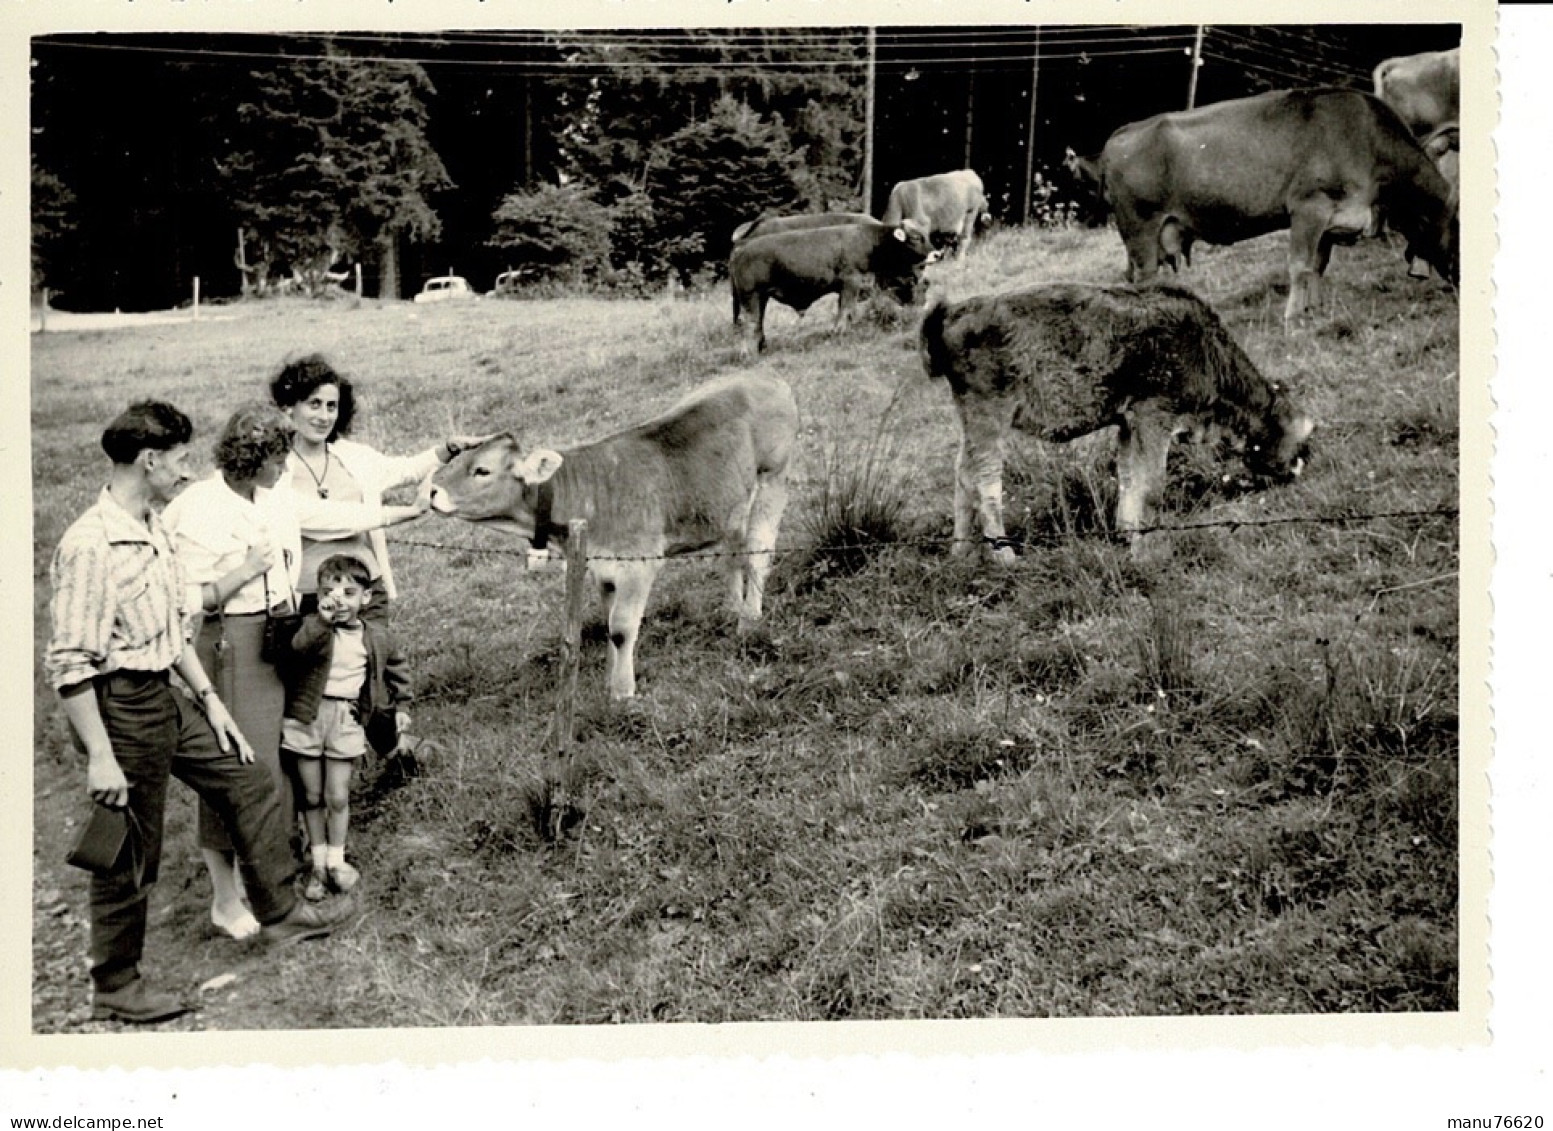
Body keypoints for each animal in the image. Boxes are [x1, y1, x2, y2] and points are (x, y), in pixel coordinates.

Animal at [428, 372, 801, 699]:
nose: (431, 490)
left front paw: (623, 692)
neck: (591, 492)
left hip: (773, 479)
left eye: (482, 470)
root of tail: (765, 376)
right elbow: (609, 626)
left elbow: (621, 629)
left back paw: (749, 619)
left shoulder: (638, 565)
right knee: (734, 553)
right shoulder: (602, 568)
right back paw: (731, 608)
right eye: (458, 459)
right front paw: (610, 681)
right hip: (729, 505)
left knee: (758, 552)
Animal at [726, 215, 931, 349]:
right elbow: (846, 310)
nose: (935, 253)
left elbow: (846, 310)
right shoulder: (851, 283)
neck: (869, 240)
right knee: (748, 321)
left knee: (756, 321)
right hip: (751, 296)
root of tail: (741, 247)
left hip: (760, 297)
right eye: (916, 237)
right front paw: (839, 334)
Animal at [913, 282, 1316, 562]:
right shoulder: (1154, 414)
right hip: (989, 415)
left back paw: (961, 552)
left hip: (972, 420)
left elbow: (1129, 478)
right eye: (1299, 436)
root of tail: (950, 311)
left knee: (962, 474)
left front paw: (1128, 533)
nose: (1301, 468)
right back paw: (1005, 556)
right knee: (984, 481)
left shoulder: (1126, 421)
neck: (1204, 349)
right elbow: (1152, 486)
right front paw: (1145, 551)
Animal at [1105, 86, 1453, 318]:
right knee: (1145, 278)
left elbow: (1317, 266)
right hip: (1140, 231)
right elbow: (1299, 265)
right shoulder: (1308, 208)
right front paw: (1292, 319)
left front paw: (1314, 310)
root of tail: (1122, 132)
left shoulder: (1330, 221)